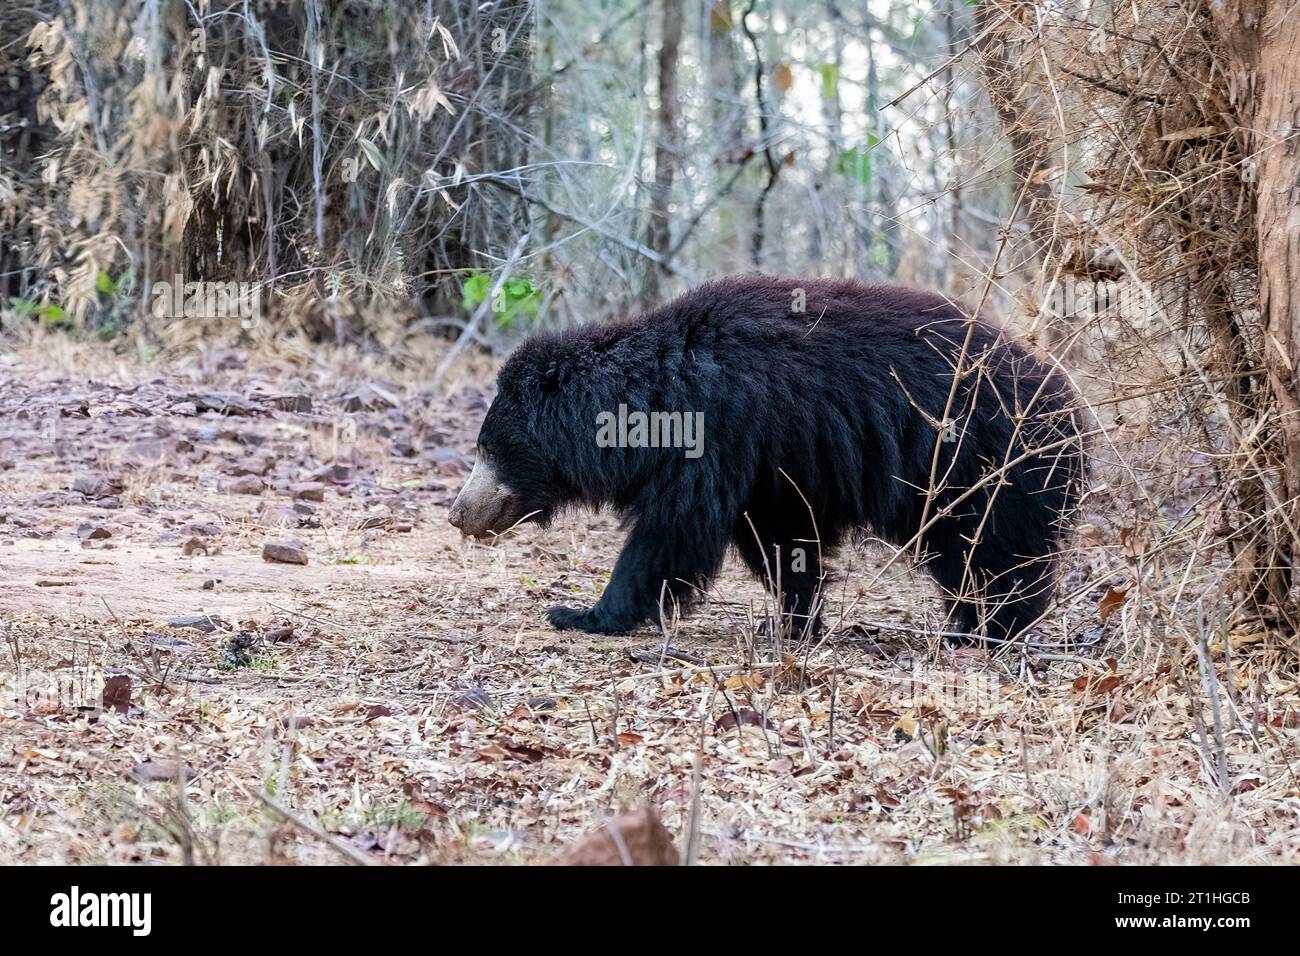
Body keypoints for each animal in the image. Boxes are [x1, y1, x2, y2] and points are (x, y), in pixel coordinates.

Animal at [447, 273, 1086, 639]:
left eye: (488, 450)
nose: (458, 514)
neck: (653, 398)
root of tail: (1069, 406)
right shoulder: (771, 469)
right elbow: (782, 542)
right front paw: (796, 623)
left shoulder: (718, 435)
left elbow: (671, 534)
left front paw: (583, 614)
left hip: (980, 465)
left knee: (991, 553)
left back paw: (986, 628)